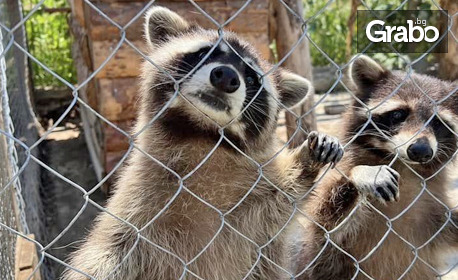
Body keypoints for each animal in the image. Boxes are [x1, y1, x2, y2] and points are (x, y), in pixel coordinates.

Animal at [60, 6, 342, 280]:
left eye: (252, 79)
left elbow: (282, 199)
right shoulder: (134, 207)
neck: (203, 138)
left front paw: (307, 158)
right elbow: (108, 249)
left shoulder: (252, 216)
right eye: (204, 53)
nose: (226, 76)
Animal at [290, 55, 458, 280]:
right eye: (398, 115)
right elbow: (327, 226)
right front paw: (363, 173)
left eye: (438, 122)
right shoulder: (326, 242)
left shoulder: (433, 215)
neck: (404, 167)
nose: (421, 150)